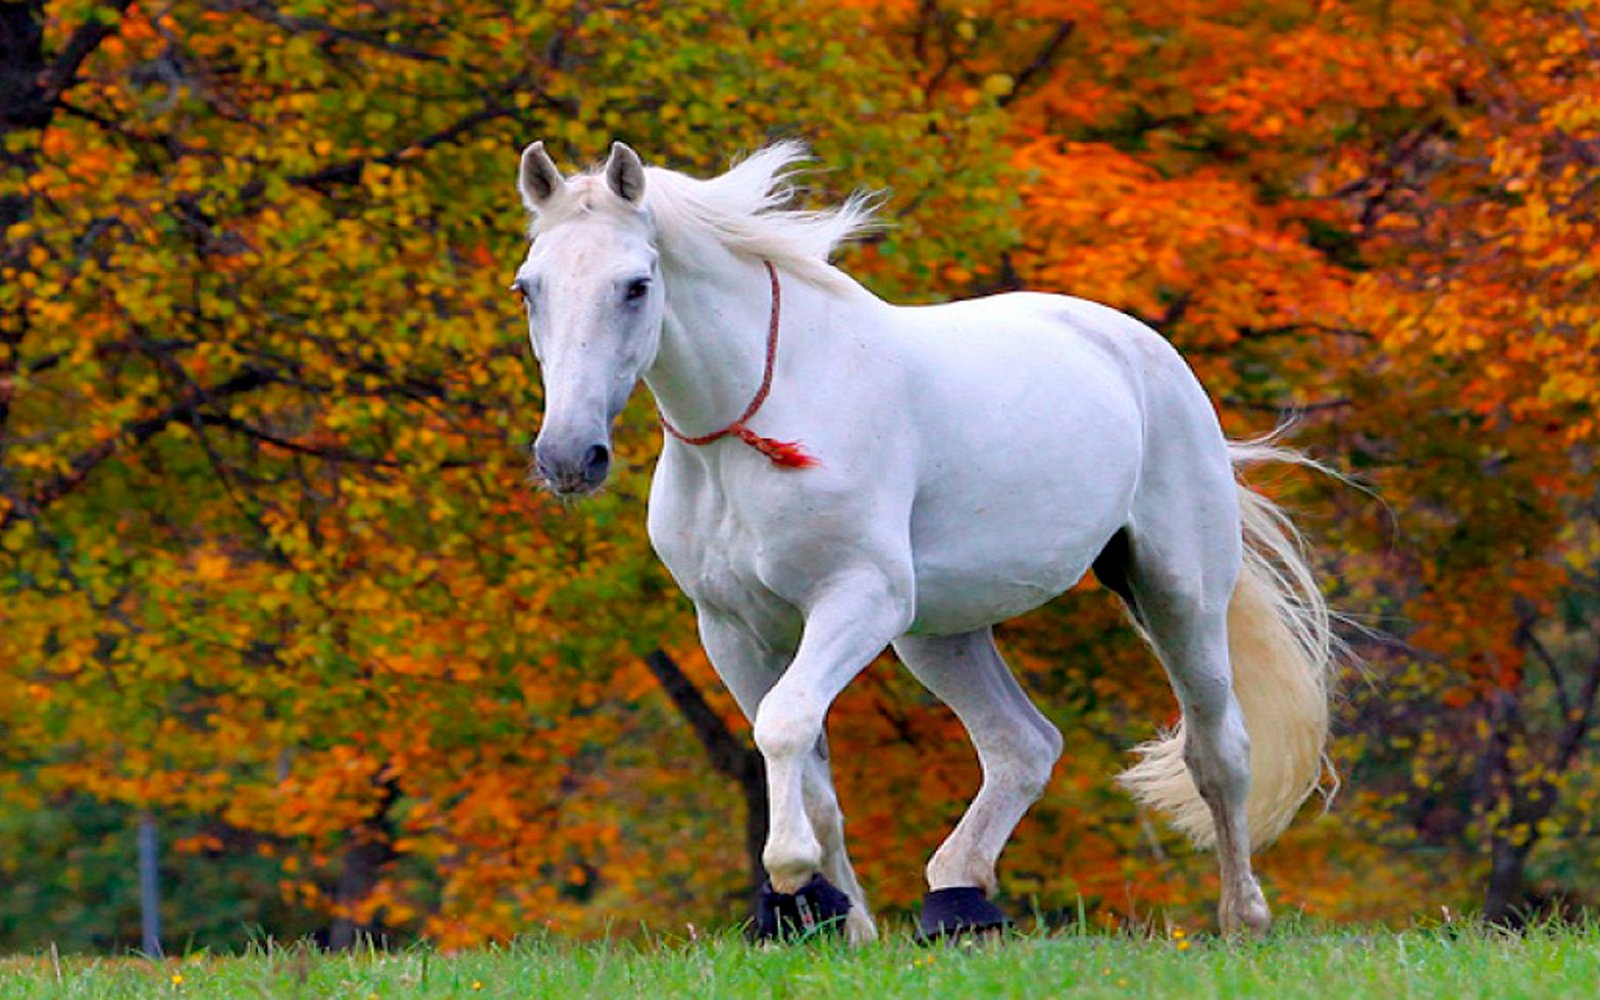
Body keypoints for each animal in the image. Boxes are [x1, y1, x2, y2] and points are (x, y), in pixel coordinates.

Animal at [508, 142, 1324, 940]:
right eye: (528, 288)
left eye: (636, 285)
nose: (569, 457)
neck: (756, 423)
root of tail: (1140, 347)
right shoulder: (732, 629)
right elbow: (812, 771)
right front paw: (842, 922)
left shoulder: (858, 599)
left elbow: (785, 722)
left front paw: (793, 877)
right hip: (940, 634)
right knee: (1022, 747)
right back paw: (957, 902)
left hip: (1177, 595)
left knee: (1217, 750)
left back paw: (1243, 919)